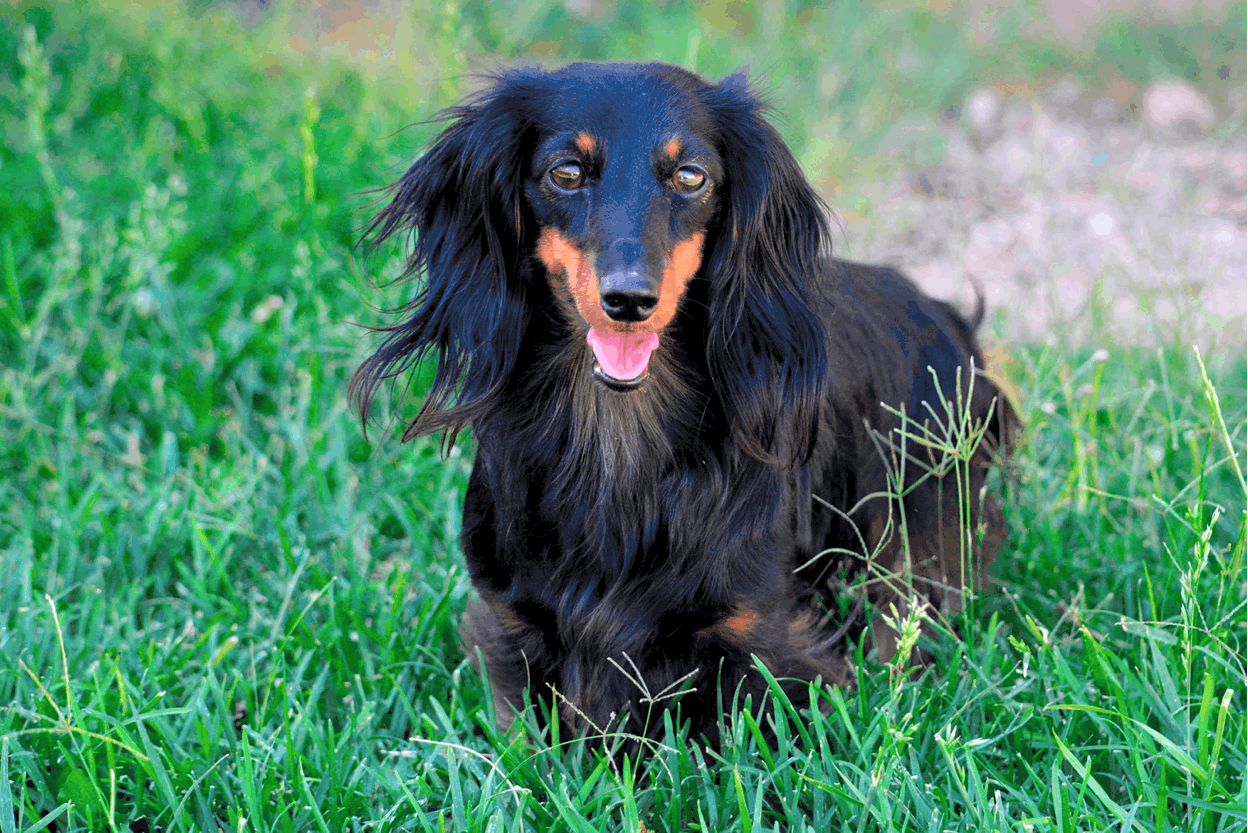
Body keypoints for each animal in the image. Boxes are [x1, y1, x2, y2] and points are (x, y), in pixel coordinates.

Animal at [351, 61, 1013, 744]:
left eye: (690, 176)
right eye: (566, 171)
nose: (629, 300)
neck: (618, 438)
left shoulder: (767, 644)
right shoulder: (512, 630)